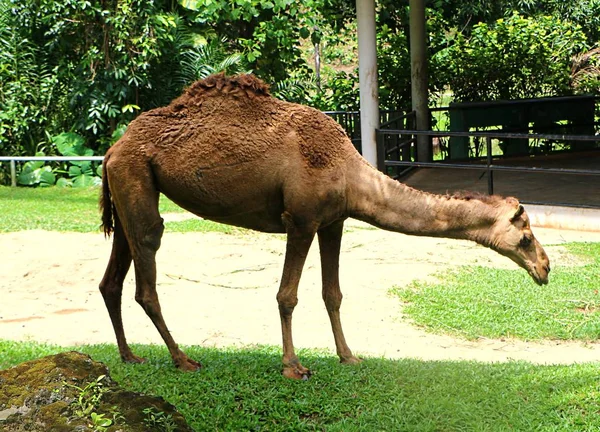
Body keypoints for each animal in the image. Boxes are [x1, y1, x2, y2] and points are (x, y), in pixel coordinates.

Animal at [99, 72, 552, 380]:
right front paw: (293, 366)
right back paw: (182, 359)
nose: (546, 268)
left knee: (112, 278)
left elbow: (332, 294)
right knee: (147, 267)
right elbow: (287, 295)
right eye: (526, 237)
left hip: (127, 189)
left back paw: (129, 355)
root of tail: (112, 148)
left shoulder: (333, 222)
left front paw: (349, 355)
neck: (350, 172)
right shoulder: (300, 220)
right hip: (137, 178)